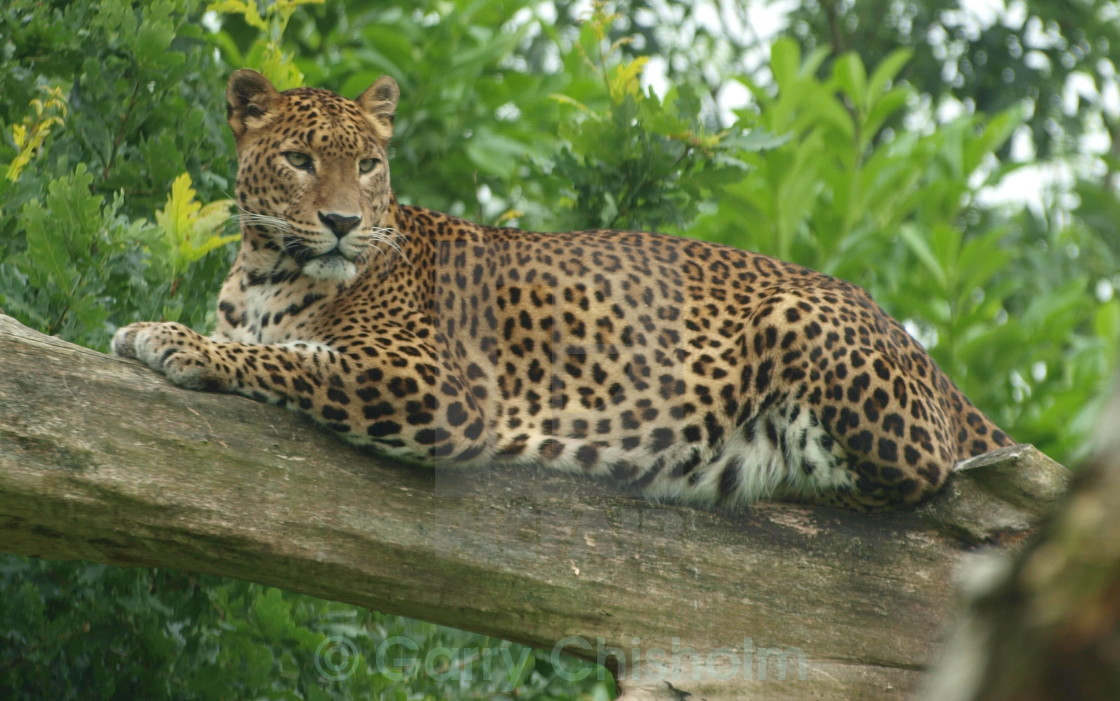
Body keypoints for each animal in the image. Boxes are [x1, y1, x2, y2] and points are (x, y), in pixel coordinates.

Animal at [111, 69, 1016, 508]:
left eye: (367, 164)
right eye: (299, 160)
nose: (340, 221)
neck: (271, 269)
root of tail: (925, 357)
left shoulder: (442, 387)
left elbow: (293, 359)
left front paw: (169, 339)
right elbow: (276, 347)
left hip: (806, 324)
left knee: (925, 473)